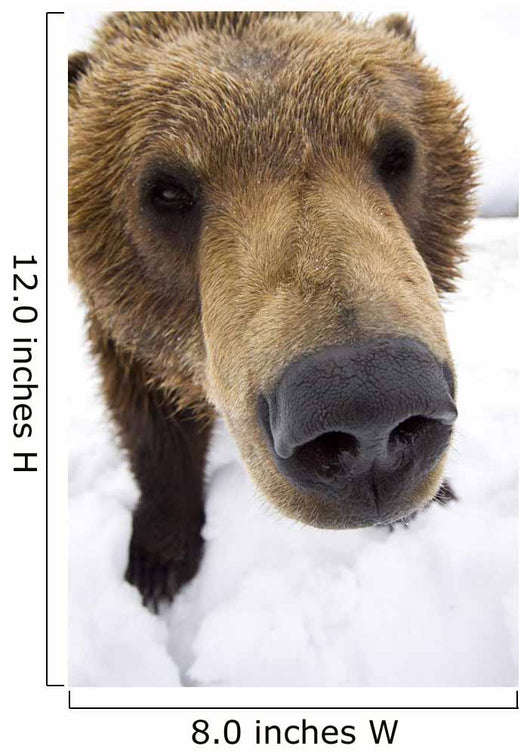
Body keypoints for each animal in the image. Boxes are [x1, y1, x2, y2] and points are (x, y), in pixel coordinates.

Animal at [69, 11, 476, 610]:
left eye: (398, 154)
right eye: (165, 190)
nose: (368, 405)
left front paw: (437, 498)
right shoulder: (123, 326)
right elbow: (148, 416)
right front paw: (158, 562)